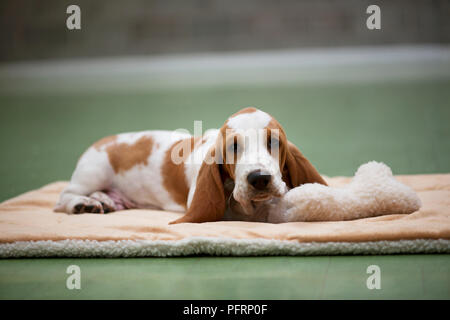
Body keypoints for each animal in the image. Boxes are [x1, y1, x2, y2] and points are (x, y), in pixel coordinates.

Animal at [55, 107, 326, 222]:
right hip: (93, 173)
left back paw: (105, 200)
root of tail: (103, 140)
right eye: (233, 146)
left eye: (273, 142)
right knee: (63, 198)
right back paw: (84, 204)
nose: (259, 178)